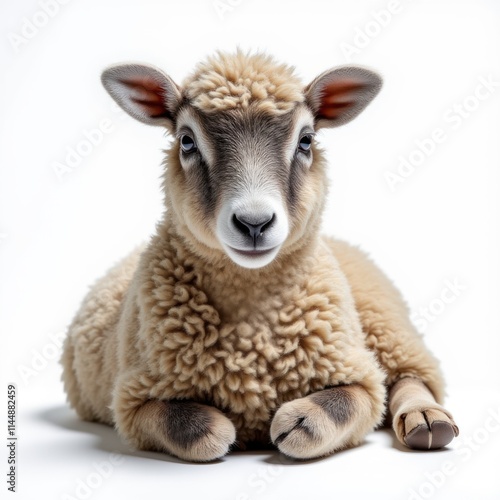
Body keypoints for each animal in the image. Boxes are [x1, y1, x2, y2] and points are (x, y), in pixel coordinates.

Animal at [60, 49, 458, 460]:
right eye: (186, 141)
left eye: (306, 140)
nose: (254, 223)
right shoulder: (133, 399)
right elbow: (185, 425)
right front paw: (217, 429)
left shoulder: (361, 376)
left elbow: (343, 404)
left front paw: (299, 423)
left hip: (386, 323)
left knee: (413, 375)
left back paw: (427, 421)